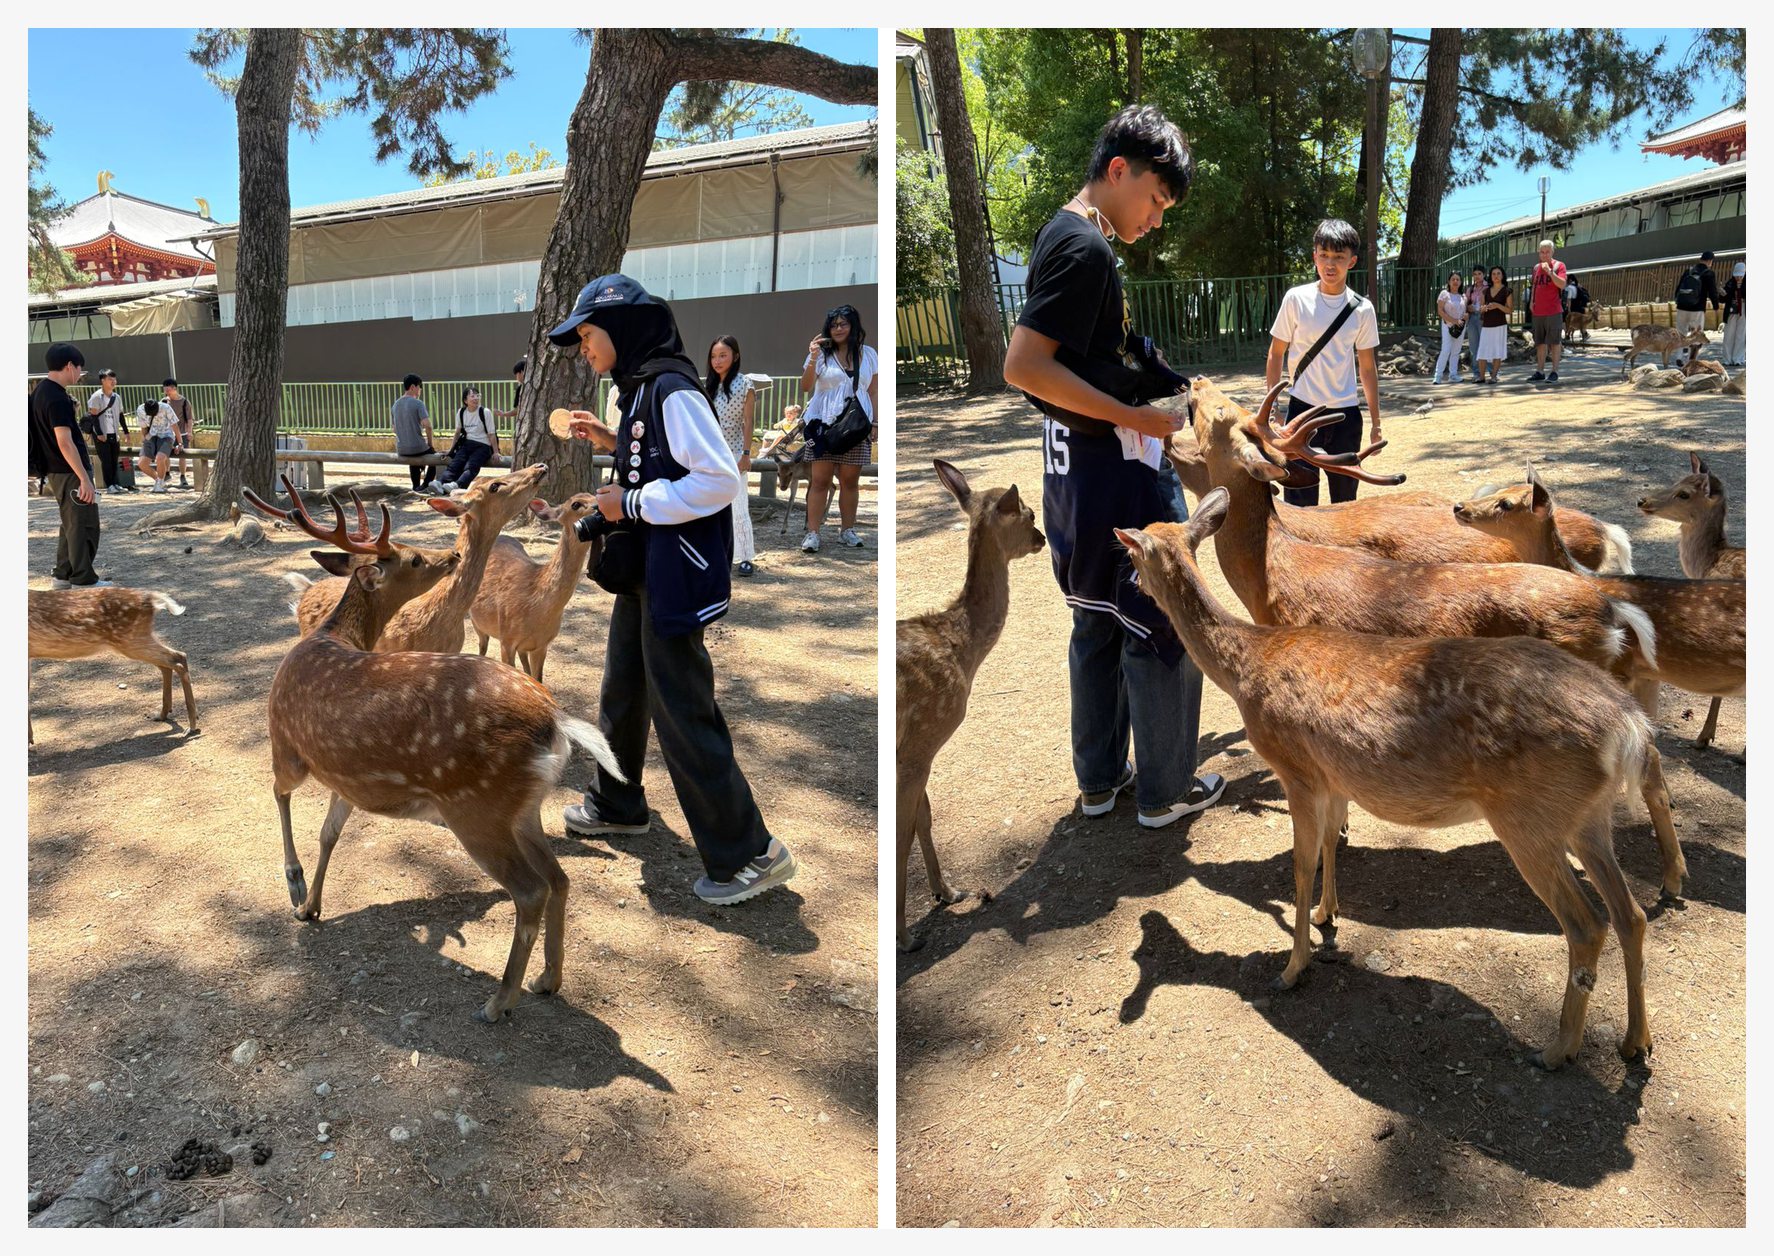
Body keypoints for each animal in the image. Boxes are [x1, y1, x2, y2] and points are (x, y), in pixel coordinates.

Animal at [28, 587, 199, 743]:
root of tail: (151, 598)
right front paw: (30, 739)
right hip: (136, 639)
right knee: (169, 663)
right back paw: (163, 714)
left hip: (130, 639)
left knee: (178, 657)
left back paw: (191, 725)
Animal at [468, 493, 604, 680]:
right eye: (575, 504)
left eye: (595, 495)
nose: (600, 508)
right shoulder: (506, 638)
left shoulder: (542, 644)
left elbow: (537, 679)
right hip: (477, 622)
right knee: (482, 646)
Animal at [896, 460, 1045, 952]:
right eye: (1029, 512)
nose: (1042, 539)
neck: (962, 650)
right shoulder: (922, 739)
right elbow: (905, 830)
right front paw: (906, 938)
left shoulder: (917, 750)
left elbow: (922, 819)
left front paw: (948, 892)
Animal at [1117, 487, 1655, 1070]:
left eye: (1132, 554)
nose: (1129, 586)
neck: (1247, 669)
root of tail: (1626, 726)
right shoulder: (1331, 776)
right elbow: (1331, 844)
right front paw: (1328, 917)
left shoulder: (1296, 768)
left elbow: (1300, 865)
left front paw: (1292, 967)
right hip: (1587, 816)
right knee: (1631, 914)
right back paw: (1635, 1041)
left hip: (1530, 818)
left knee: (1587, 923)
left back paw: (1557, 1049)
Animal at [1457, 469, 1746, 787]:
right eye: (1500, 490)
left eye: (1506, 503)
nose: (1459, 506)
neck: (1586, 577)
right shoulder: (1646, 673)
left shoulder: (1622, 667)